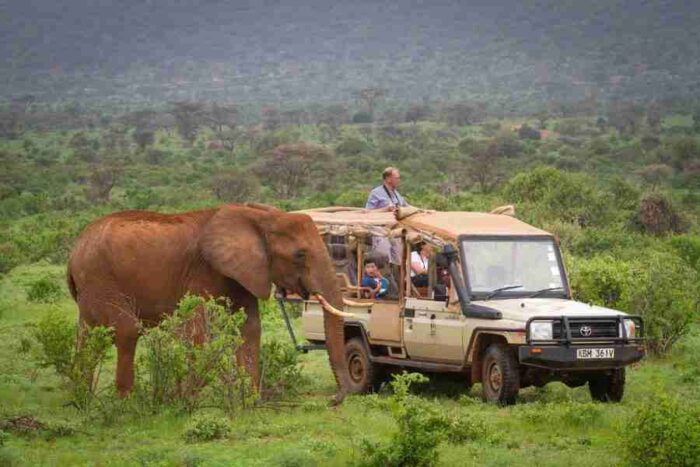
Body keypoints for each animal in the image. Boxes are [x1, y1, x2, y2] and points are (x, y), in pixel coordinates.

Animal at [67, 204, 350, 402]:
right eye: (300, 255)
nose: (333, 399)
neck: (260, 217)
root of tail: (75, 249)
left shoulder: (244, 273)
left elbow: (250, 329)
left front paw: (250, 400)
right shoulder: (202, 271)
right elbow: (197, 331)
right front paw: (187, 398)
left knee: (86, 335)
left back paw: (82, 397)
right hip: (99, 278)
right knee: (126, 330)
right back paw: (125, 402)